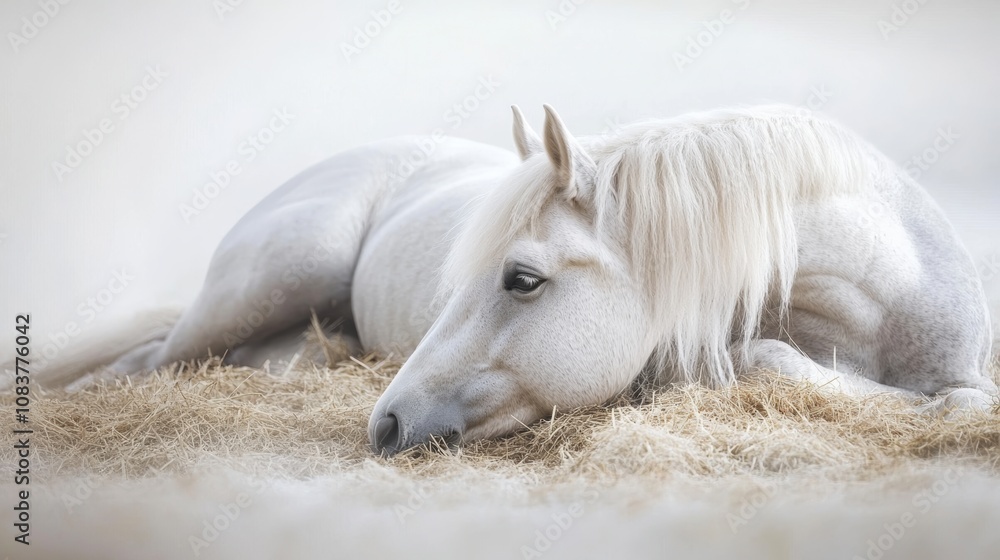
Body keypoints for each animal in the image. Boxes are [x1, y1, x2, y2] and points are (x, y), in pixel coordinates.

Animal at [25, 104, 997, 456]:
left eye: (522, 279)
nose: (384, 424)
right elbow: (766, 359)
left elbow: (962, 401)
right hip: (276, 274)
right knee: (147, 361)